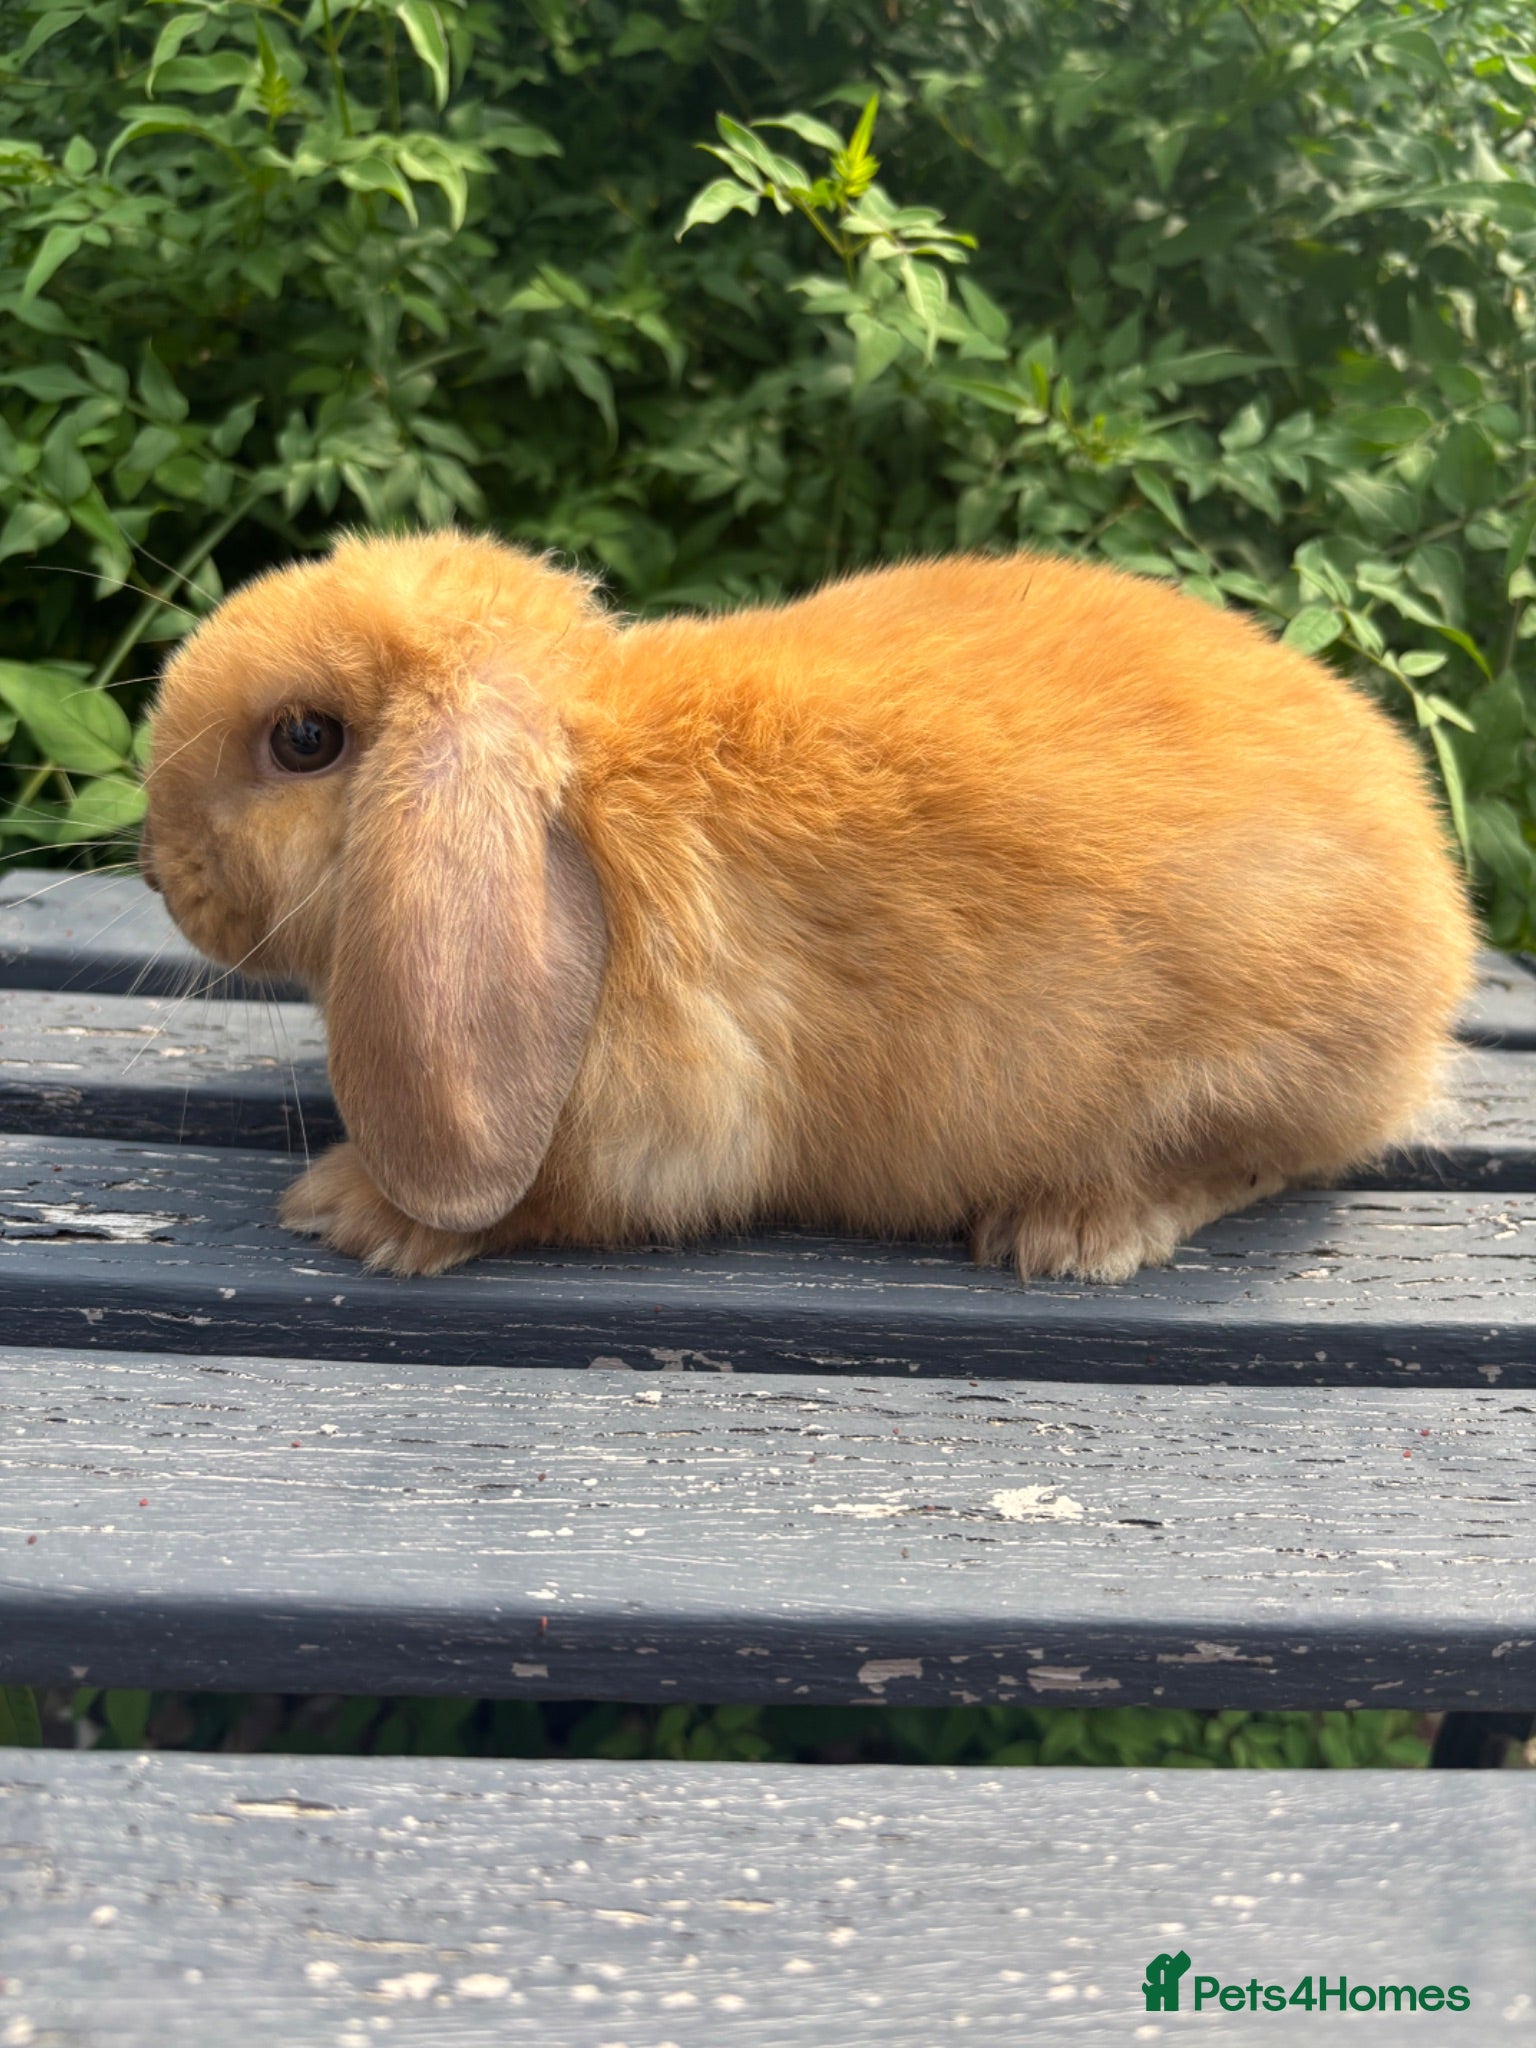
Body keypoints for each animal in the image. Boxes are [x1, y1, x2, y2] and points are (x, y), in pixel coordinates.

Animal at [140, 529, 1475, 1280]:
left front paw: (349, 1211)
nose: (158, 868)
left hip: (1250, 1067)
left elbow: (554, 1200)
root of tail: (1437, 893)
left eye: (303, 739)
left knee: (1250, 1162)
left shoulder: (663, 1125)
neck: (584, 793)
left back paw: (1073, 1232)